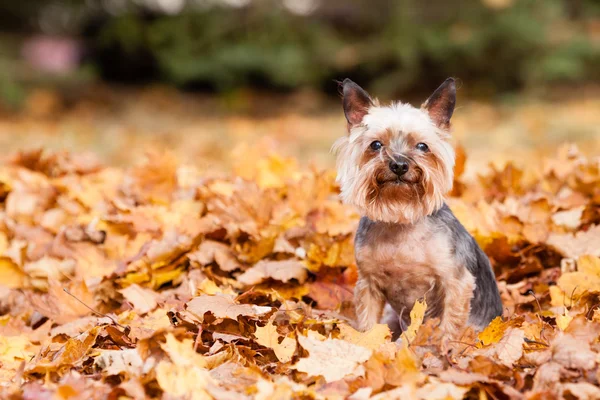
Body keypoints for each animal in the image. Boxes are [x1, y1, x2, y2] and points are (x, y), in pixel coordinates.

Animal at [332, 77, 502, 338]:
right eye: (376, 145)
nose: (399, 164)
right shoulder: (368, 284)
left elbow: (449, 324)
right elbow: (368, 323)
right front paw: (369, 342)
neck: (401, 218)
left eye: (422, 146)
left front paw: (443, 345)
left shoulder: (456, 282)